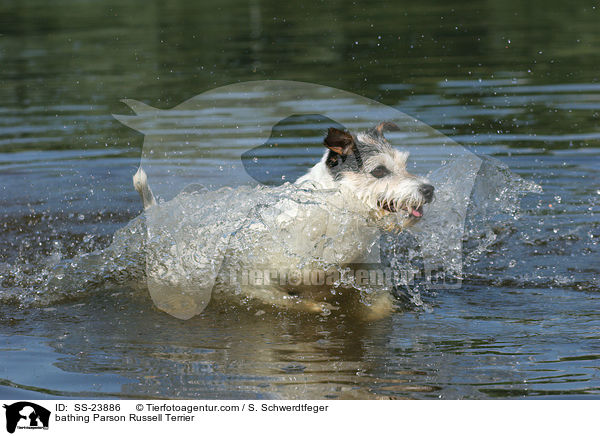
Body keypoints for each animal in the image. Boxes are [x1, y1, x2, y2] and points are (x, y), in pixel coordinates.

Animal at [134, 122, 434, 320]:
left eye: (405, 164)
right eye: (379, 171)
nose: (429, 190)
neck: (333, 215)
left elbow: (379, 304)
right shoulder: (254, 280)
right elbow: (291, 300)